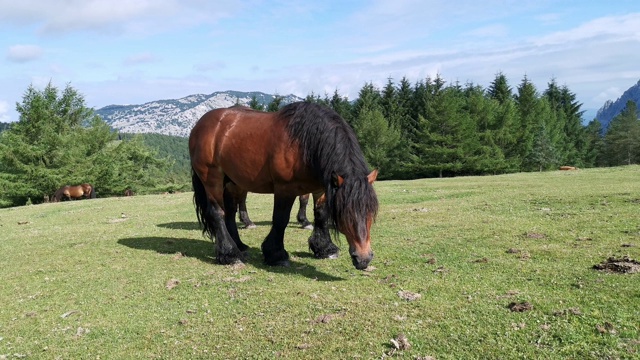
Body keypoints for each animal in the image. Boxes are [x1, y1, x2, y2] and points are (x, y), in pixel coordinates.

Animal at [190, 101, 380, 270]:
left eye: (371, 212)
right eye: (345, 213)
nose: (363, 259)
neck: (304, 142)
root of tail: (200, 125)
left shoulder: (321, 189)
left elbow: (321, 215)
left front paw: (325, 248)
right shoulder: (285, 189)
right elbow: (281, 219)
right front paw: (276, 254)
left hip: (233, 183)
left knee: (229, 212)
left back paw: (239, 246)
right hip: (212, 179)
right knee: (217, 213)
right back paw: (230, 254)